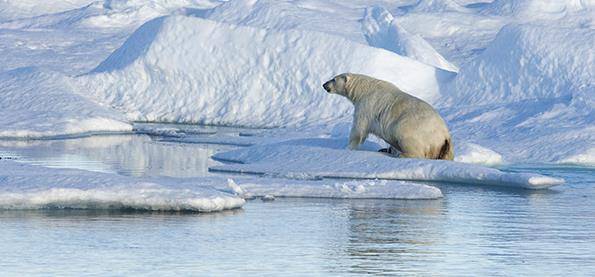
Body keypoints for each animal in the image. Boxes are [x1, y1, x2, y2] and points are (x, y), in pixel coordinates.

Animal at [324, 73, 454, 160]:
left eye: (334, 79)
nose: (324, 84)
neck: (363, 89)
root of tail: (445, 135)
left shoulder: (367, 105)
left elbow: (359, 129)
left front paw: (346, 148)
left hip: (413, 128)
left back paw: (402, 154)